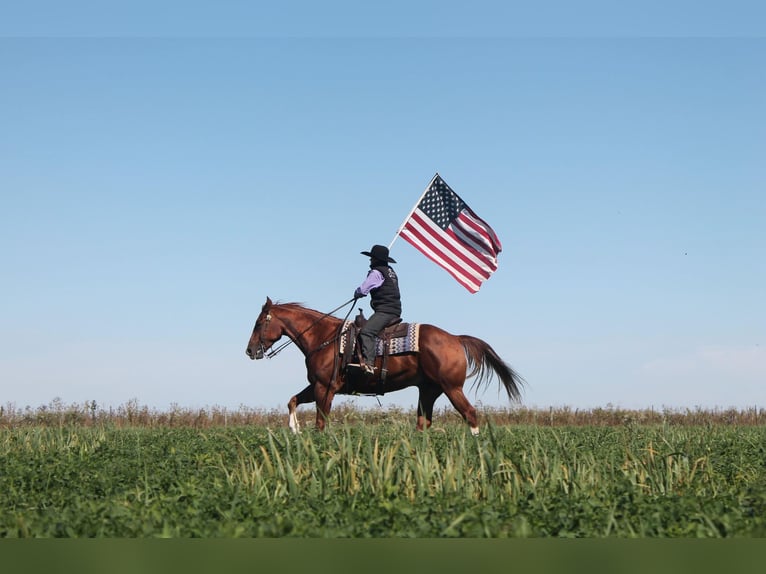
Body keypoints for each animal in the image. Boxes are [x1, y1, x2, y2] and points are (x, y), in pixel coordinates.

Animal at [246, 300, 528, 434]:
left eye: (259, 323)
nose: (249, 351)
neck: (323, 337)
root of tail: (456, 338)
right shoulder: (316, 385)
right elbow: (292, 400)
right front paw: (294, 429)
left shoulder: (325, 388)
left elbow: (320, 422)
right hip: (429, 390)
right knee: (423, 423)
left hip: (452, 388)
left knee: (470, 414)